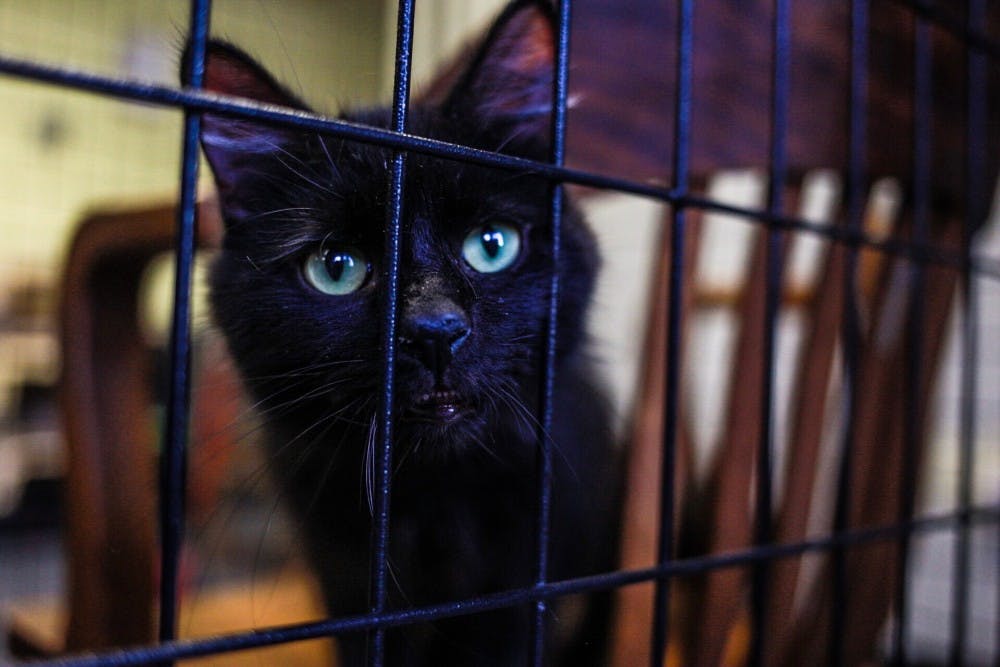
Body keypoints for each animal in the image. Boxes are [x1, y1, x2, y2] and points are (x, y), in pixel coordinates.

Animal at [191, 2, 620, 664]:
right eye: (336, 267)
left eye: (491, 244)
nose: (435, 329)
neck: (433, 502)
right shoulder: (341, 567)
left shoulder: (522, 577)